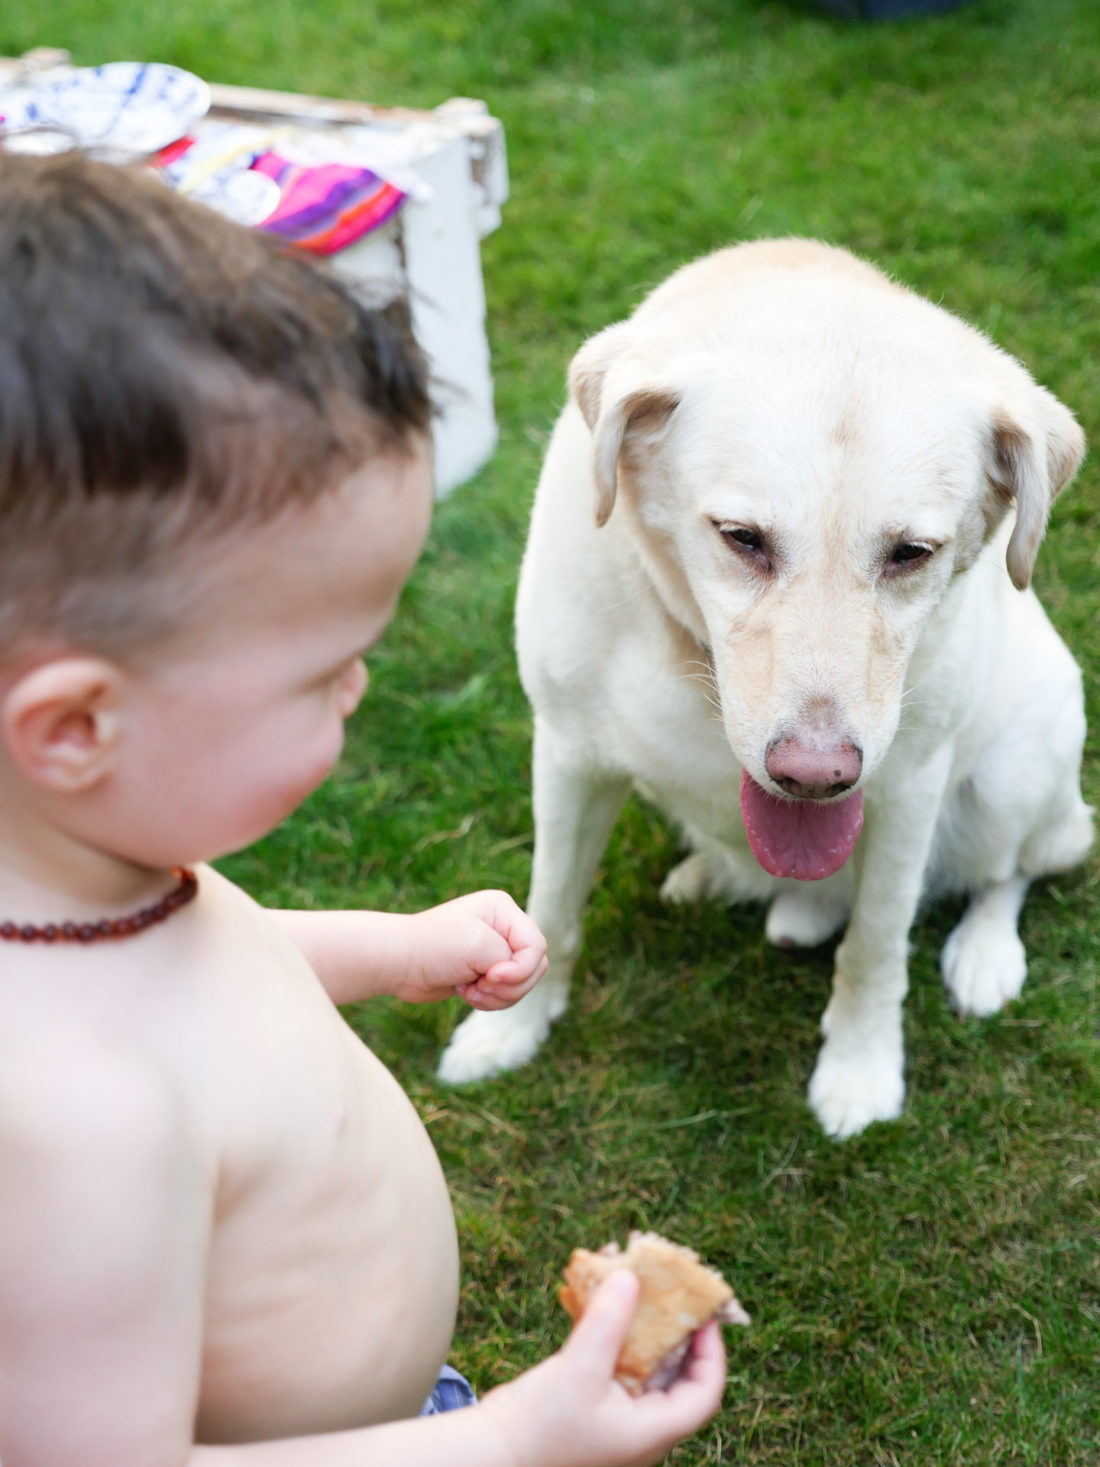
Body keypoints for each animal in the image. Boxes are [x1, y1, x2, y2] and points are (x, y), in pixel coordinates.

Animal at [440, 237, 1097, 1132]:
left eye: (912, 553)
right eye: (741, 537)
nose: (814, 775)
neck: (686, 646)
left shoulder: (908, 790)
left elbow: (876, 945)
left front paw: (860, 1070)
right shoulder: (569, 754)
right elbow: (550, 908)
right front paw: (508, 1030)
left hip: (1016, 771)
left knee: (1012, 870)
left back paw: (984, 952)